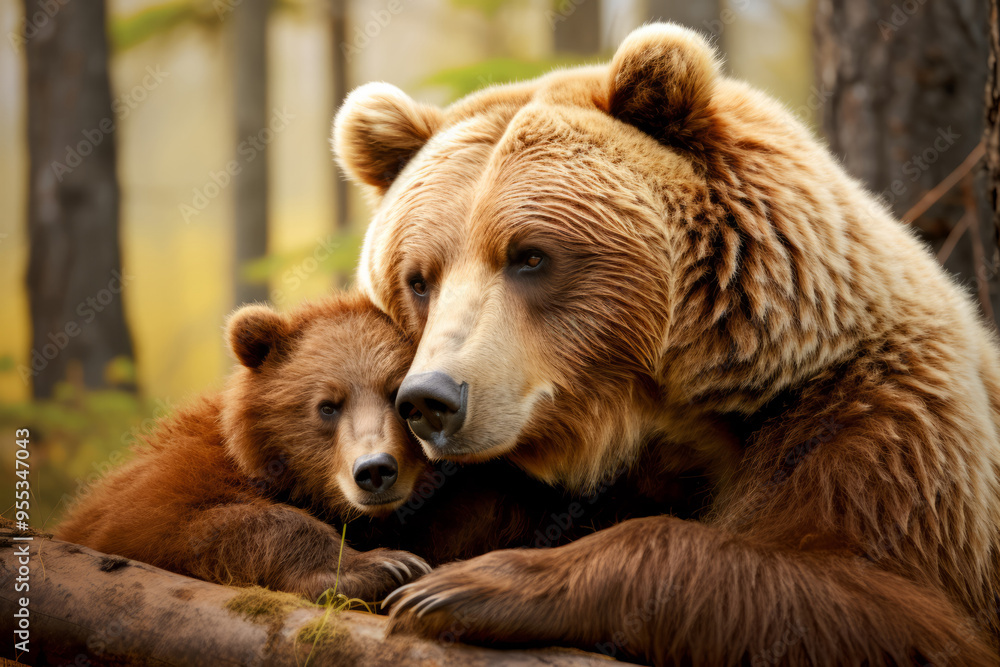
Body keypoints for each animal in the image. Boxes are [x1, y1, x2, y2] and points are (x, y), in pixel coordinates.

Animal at [56, 292, 433, 601]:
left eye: (399, 396)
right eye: (327, 406)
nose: (375, 469)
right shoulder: (173, 477)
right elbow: (171, 523)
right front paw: (385, 565)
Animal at [333, 22, 1000, 666]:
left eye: (530, 256)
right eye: (420, 279)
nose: (431, 399)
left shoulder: (874, 423)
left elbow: (890, 602)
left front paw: (469, 586)